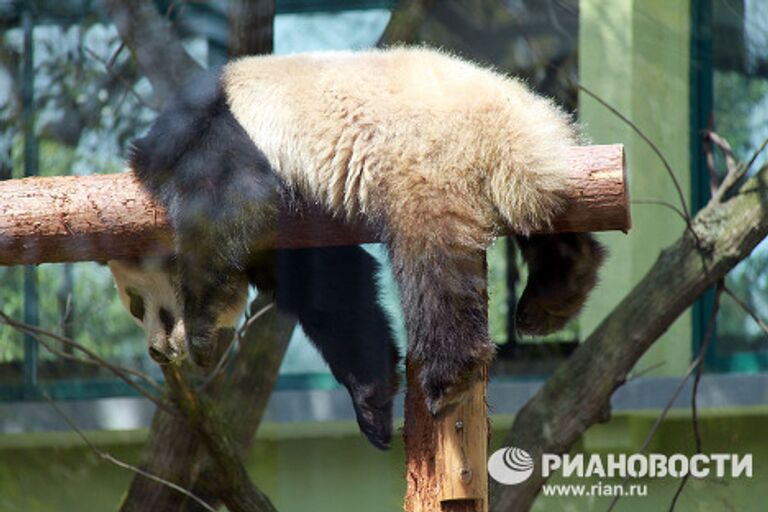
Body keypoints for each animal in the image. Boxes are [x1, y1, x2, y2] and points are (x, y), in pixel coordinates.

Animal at [127, 45, 608, 420]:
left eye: (137, 304)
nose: (157, 351)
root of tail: (518, 124)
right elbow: (333, 283)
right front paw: (372, 402)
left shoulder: (206, 134)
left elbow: (230, 203)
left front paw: (201, 333)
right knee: (545, 220)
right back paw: (558, 291)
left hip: (428, 161)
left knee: (433, 263)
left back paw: (449, 375)